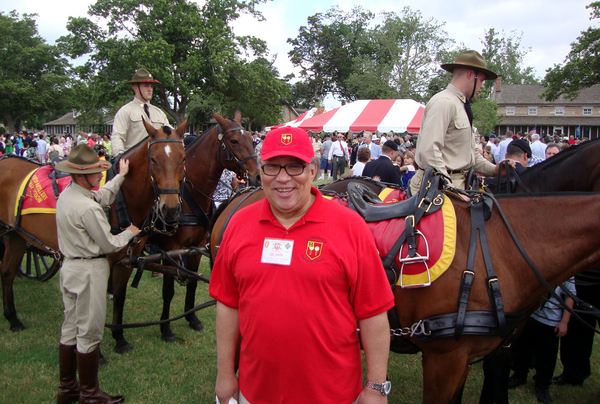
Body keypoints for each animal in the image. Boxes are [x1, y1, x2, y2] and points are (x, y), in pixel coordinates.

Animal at [0, 121, 186, 332]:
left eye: (183, 158)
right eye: (153, 159)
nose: (170, 209)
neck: (121, 198)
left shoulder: (126, 260)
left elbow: (119, 297)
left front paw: (119, 335)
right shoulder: (103, 261)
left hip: (15, 236)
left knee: (7, 271)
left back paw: (13, 318)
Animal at [109, 110, 258, 354]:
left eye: (252, 140)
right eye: (234, 141)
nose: (257, 176)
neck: (190, 195)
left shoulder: (195, 248)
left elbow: (193, 280)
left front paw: (192, 319)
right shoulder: (173, 249)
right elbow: (168, 290)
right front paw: (166, 329)